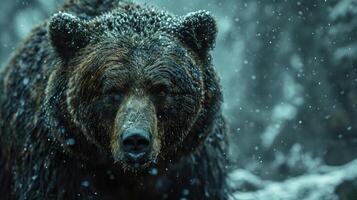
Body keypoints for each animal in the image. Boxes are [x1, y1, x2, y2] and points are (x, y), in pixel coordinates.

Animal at [0, 0, 228, 199]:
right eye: (113, 91)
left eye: (161, 90)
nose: (135, 139)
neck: (125, 175)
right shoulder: (57, 167)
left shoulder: (193, 172)